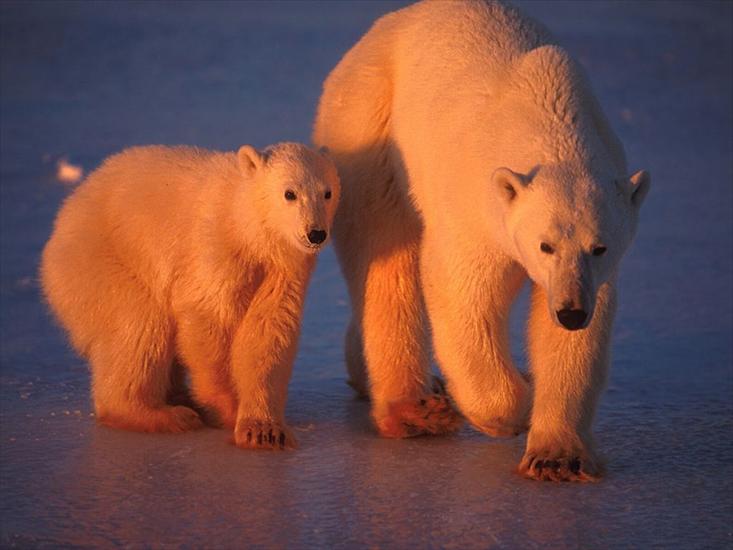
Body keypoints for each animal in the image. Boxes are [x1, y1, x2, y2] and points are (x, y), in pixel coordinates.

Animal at [312, 0, 648, 480]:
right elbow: (463, 291)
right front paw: (517, 403)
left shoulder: (590, 275)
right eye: (545, 245)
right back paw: (416, 411)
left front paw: (557, 457)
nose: (570, 312)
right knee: (384, 250)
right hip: (369, 123)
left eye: (599, 247)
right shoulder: (476, 203)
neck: (552, 118)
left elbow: (576, 336)